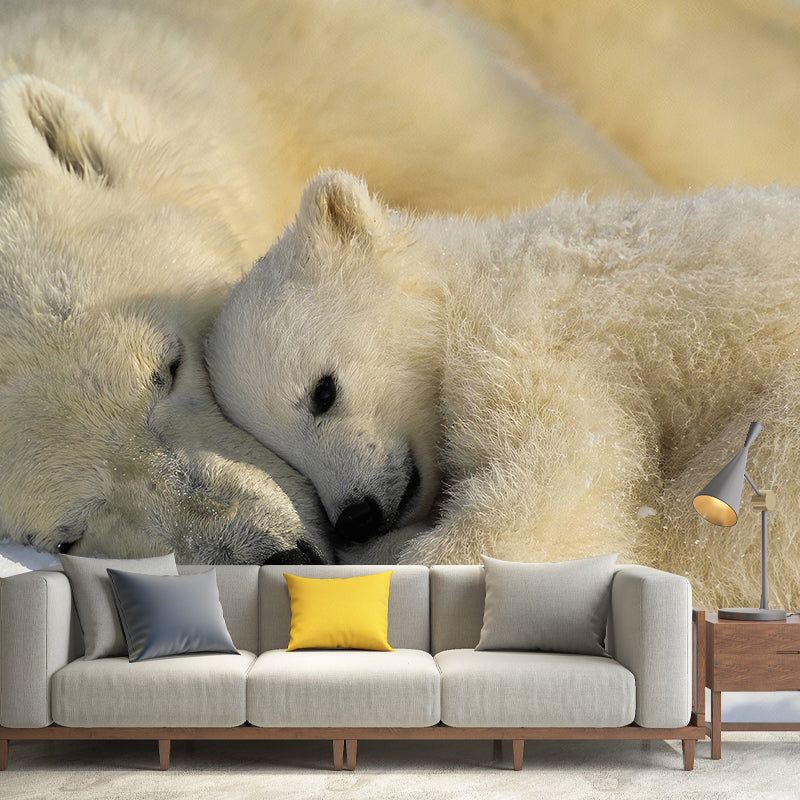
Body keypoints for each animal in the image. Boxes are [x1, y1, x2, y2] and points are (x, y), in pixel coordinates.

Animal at [207, 170, 800, 609]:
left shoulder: (524, 332)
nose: (356, 517)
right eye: (284, 455)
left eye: (322, 393)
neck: (471, 277)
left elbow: (556, 479)